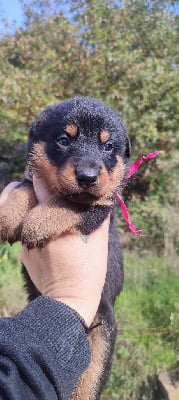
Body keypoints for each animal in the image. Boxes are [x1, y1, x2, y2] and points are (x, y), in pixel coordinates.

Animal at [0, 97, 130, 400]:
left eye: (108, 146)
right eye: (63, 140)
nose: (87, 177)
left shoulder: (102, 207)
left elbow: (72, 203)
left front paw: (36, 223)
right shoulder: (32, 178)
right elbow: (24, 186)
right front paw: (10, 215)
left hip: (102, 341)